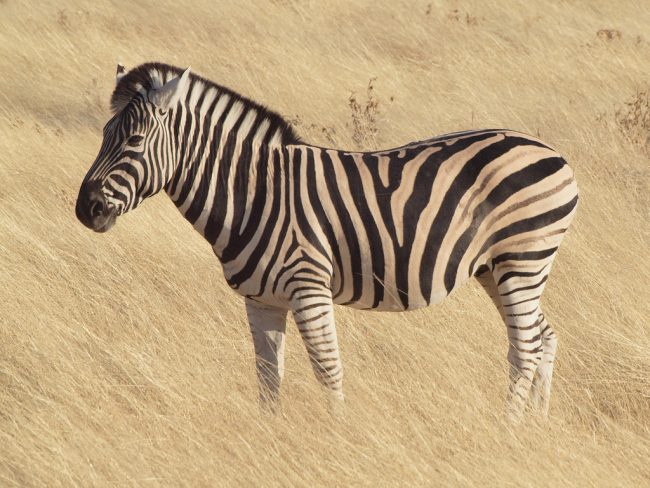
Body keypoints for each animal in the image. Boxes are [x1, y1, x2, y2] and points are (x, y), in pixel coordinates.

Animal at [76, 62, 578, 421]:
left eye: (134, 141)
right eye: (103, 135)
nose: (85, 209)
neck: (255, 192)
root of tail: (550, 151)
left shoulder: (308, 287)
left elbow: (327, 369)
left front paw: (337, 436)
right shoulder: (262, 300)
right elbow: (267, 376)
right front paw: (270, 437)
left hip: (523, 258)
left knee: (525, 347)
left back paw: (509, 430)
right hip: (498, 268)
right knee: (544, 337)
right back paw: (537, 428)